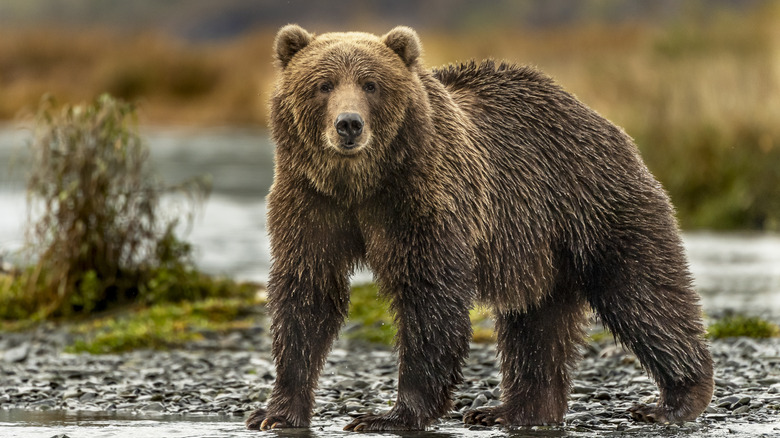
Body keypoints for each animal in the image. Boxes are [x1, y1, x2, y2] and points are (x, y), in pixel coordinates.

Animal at [247, 24, 716, 432]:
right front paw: (275, 413)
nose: (348, 124)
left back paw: (673, 400)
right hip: (538, 247)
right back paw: (512, 410)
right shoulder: (310, 201)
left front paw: (389, 415)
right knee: (534, 323)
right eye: (323, 84)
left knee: (642, 293)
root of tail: (599, 118)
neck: (360, 183)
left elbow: (429, 296)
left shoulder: (420, 199)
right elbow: (307, 294)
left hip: (593, 202)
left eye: (371, 84)